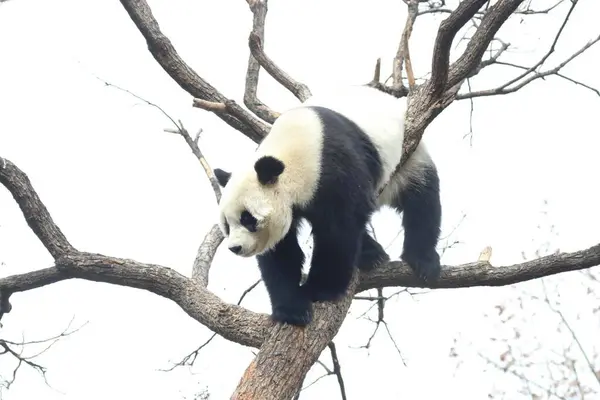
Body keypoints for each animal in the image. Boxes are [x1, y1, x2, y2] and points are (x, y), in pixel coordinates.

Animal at [213, 86, 438, 326]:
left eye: (248, 219)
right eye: (226, 225)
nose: (235, 247)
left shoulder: (334, 172)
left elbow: (339, 231)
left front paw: (319, 290)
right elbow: (281, 252)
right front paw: (292, 310)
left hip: (408, 161)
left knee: (421, 200)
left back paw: (422, 260)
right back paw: (371, 253)